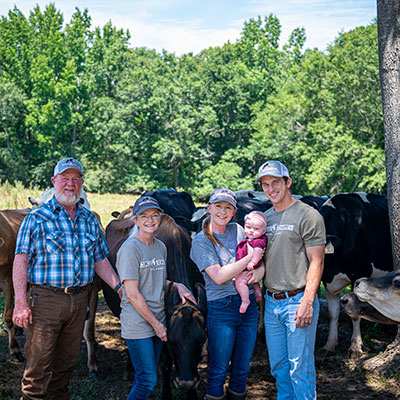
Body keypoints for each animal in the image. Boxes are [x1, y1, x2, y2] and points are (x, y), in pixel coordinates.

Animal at [318, 194, 394, 354]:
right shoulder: (327, 280)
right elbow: (333, 313)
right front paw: (330, 344)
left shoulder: (358, 274)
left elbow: (354, 312)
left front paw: (355, 346)